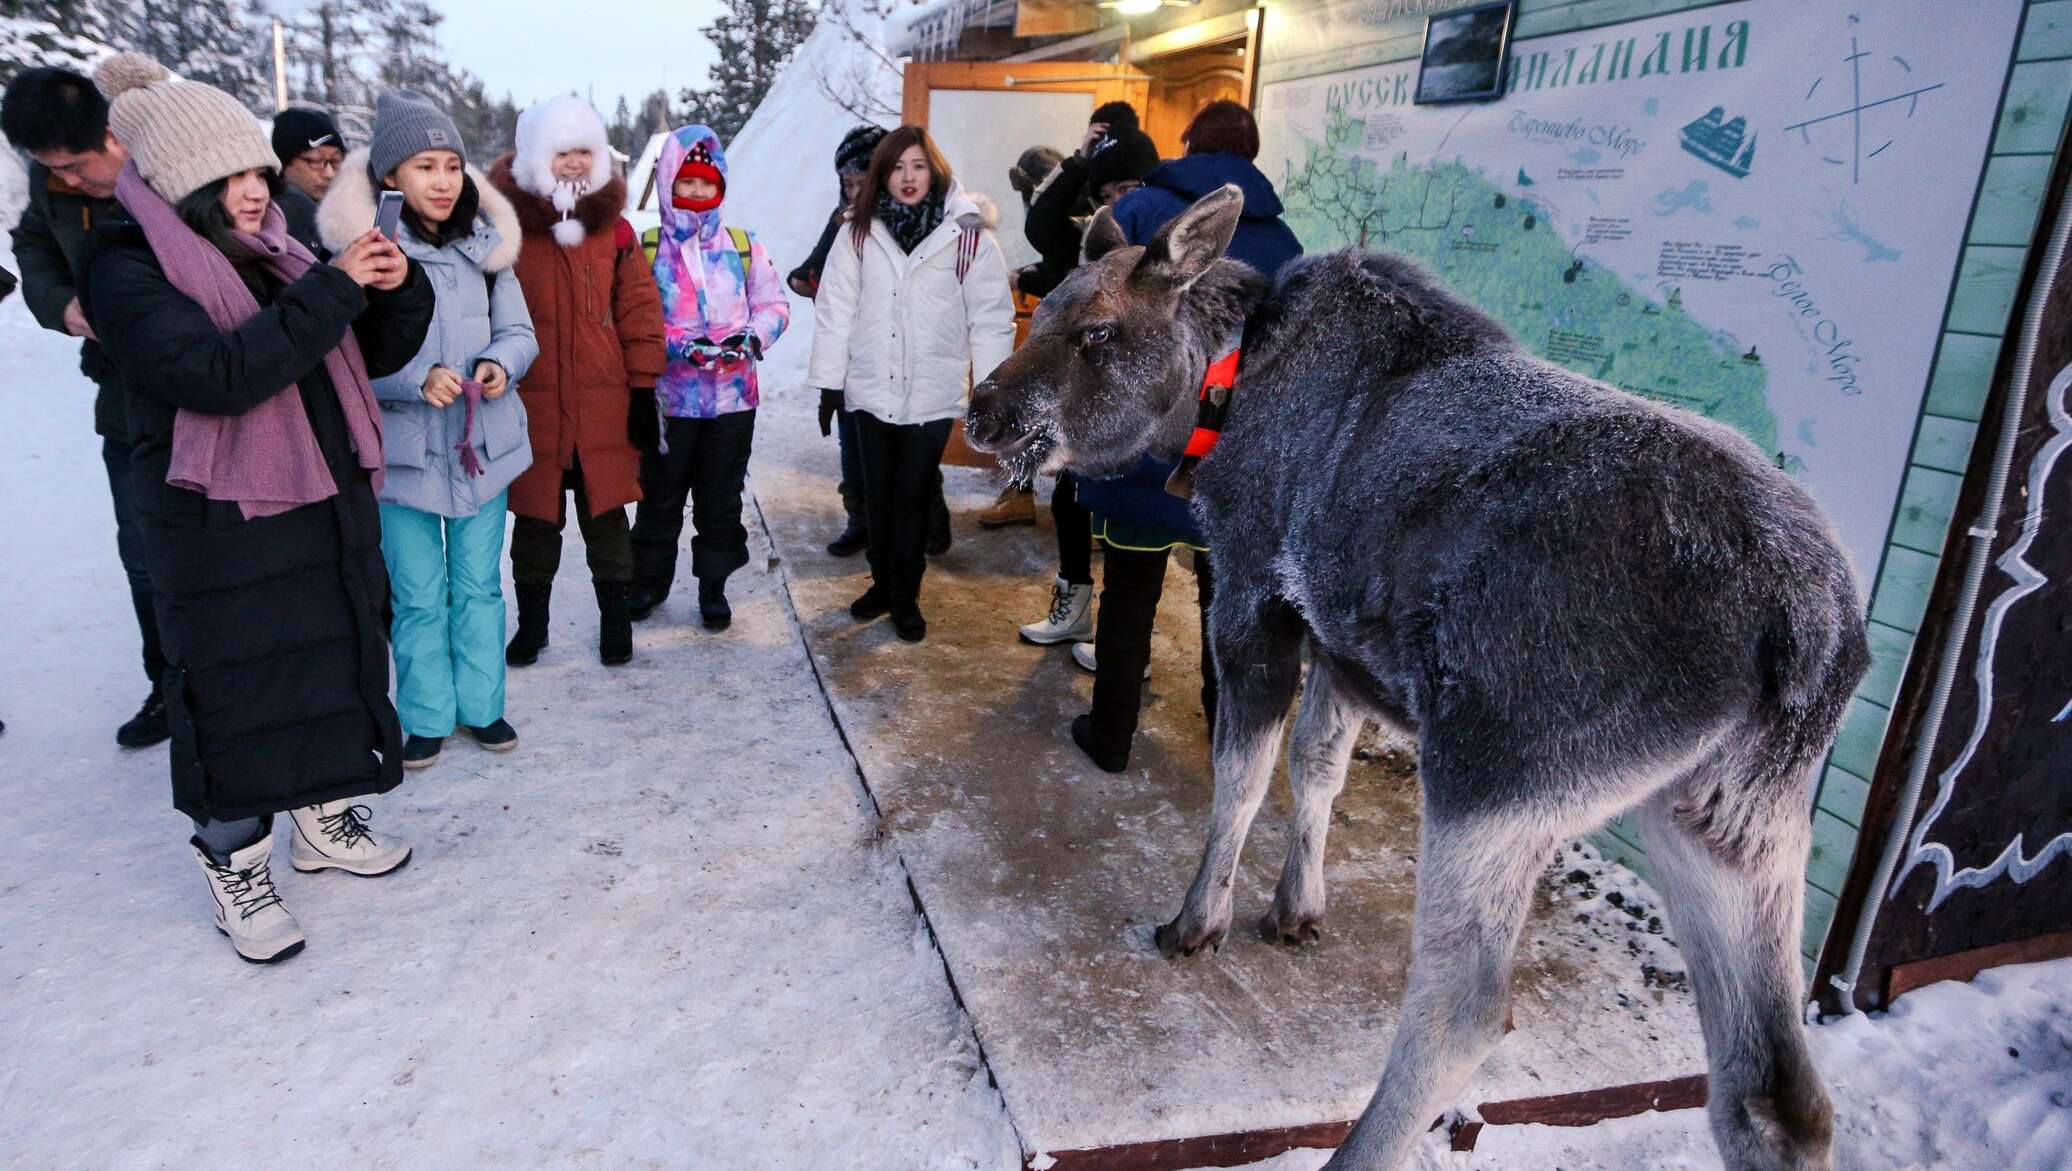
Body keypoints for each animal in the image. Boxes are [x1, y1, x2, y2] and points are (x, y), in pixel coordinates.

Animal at [961, 182, 1873, 1168]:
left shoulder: (1253, 592)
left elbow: (1240, 778)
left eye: (1097, 329)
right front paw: (1296, 906)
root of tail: (1810, 633)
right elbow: (1316, 769)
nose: (982, 411)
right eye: (1048, 304)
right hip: (1729, 816)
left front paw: (1198, 922)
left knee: (1466, 1006)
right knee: (1775, 1086)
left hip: (1501, 766)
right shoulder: (1341, 647)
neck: (1220, 401)